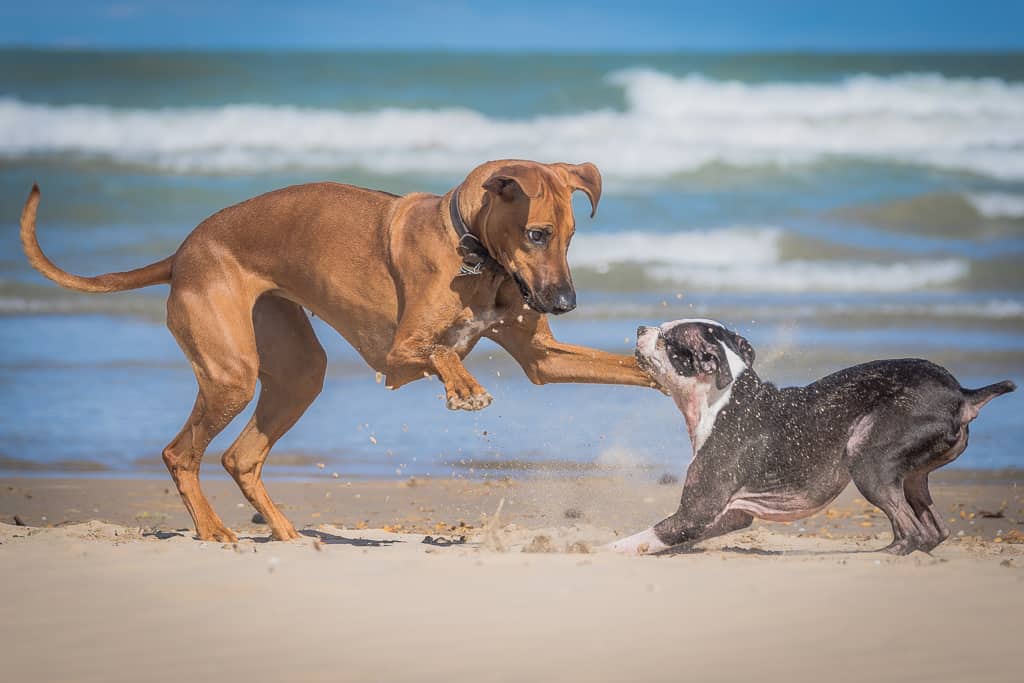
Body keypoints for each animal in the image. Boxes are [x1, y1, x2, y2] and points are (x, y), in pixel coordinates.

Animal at [19, 158, 651, 540]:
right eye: (537, 234)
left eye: (570, 238)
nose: (566, 302)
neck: (472, 250)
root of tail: (181, 252)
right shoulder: (397, 354)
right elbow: (441, 351)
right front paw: (464, 387)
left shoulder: (544, 358)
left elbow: (623, 367)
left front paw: (663, 364)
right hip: (231, 373)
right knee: (180, 453)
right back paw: (214, 531)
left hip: (298, 370)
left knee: (240, 456)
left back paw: (287, 535)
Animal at [610, 321, 1011, 557]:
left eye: (666, 339)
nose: (641, 327)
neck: (724, 398)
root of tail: (963, 395)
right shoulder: (732, 514)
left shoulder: (695, 513)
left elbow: (646, 537)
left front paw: (604, 551)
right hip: (912, 474)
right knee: (933, 529)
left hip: (867, 458)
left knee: (914, 532)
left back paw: (878, 558)